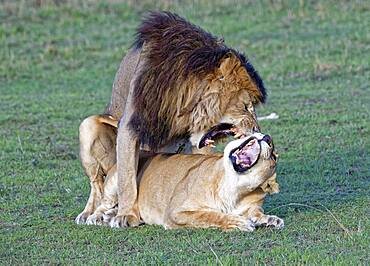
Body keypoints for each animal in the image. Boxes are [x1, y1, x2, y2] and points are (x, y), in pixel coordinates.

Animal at [75, 10, 266, 227]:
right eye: (246, 107)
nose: (258, 131)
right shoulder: (130, 126)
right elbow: (127, 178)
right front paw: (126, 215)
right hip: (87, 126)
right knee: (97, 183)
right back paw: (90, 213)